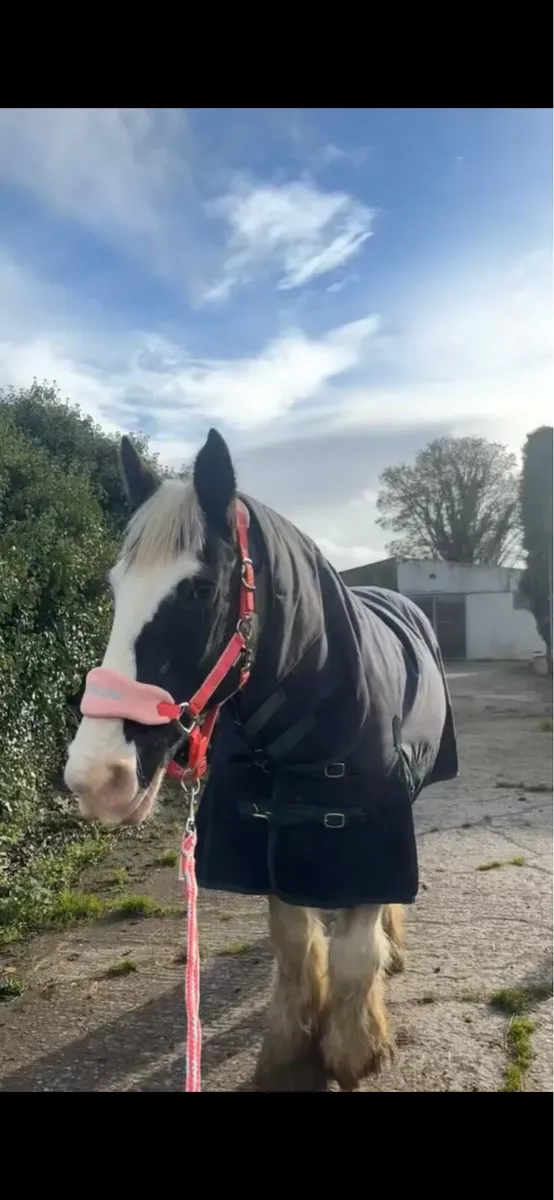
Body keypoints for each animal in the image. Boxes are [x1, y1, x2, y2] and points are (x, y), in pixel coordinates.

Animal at [63, 428, 459, 1091]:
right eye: (116, 588)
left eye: (200, 590)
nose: (97, 776)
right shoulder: (270, 842)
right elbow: (296, 942)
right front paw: (291, 1048)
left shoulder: (370, 835)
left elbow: (355, 953)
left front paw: (354, 1050)